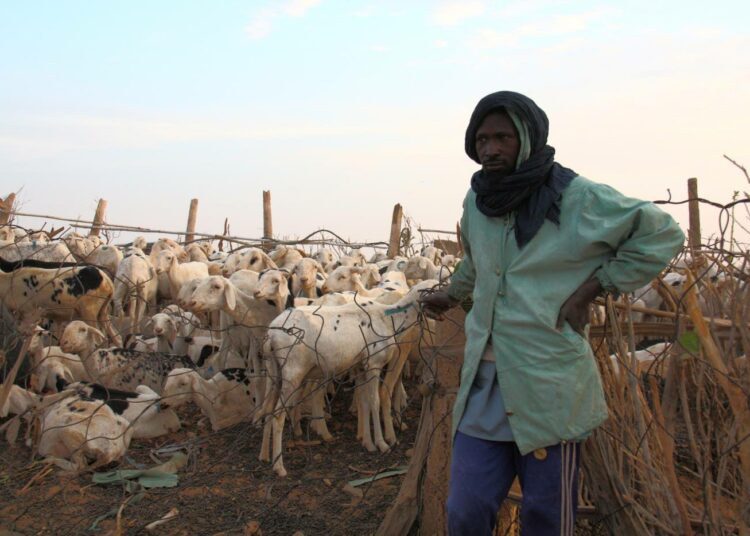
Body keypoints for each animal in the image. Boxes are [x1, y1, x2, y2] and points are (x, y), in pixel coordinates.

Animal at [262, 278, 440, 476]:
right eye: (439, 285)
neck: (390, 319)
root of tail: (271, 334)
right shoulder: (374, 364)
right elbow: (375, 401)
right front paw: (382, 443)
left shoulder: (361, 367)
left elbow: (365, 402)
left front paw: (368, 443)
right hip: (292, 372)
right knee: (278, 415)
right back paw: (279, 467)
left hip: (274, 371)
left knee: (267, 409)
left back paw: (265, 456)